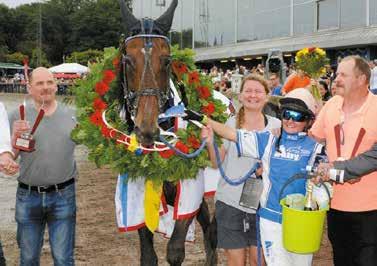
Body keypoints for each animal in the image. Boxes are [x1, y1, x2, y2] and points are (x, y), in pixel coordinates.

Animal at [117, 1, 217, 264]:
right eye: (127, 60)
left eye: (166, 60)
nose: (146, 129)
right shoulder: (139, 189)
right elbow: (148, 255)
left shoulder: (190, 189)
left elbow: (175, 251)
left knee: (211, 229)